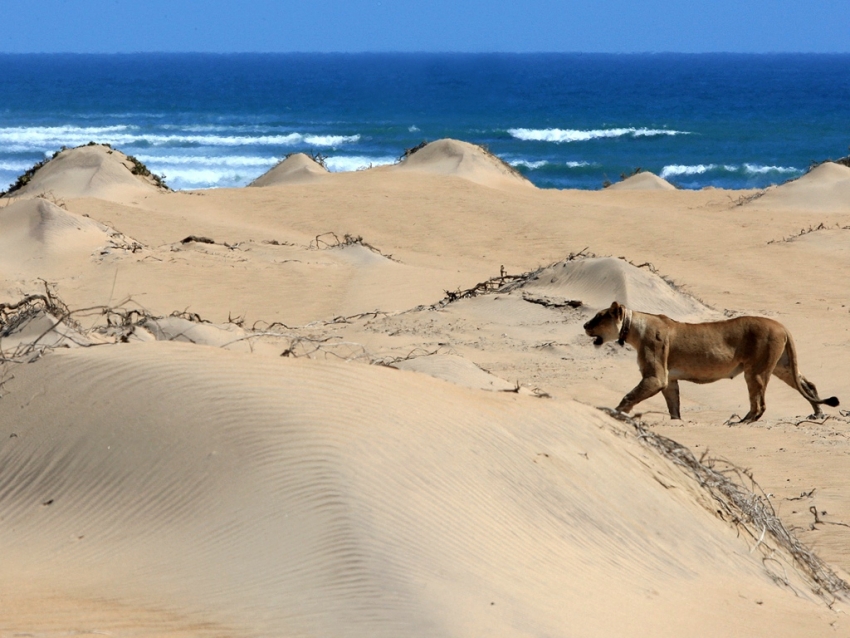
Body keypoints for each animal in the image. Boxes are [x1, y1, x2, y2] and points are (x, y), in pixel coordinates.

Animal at [584, 304, 836, 424]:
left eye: (598, 316)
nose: (585, 325)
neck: (635, 328)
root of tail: (782, 326)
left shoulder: (656, 377)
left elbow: (629, 397)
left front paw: (614, 414)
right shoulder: (669, 379)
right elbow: (674, 406)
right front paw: (677, 422)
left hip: (756, 371)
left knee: (760, 404)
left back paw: (741, 422)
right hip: (781, 366)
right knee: (808, 385)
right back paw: (817, 413)